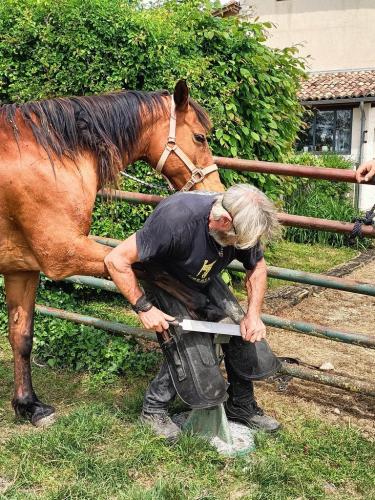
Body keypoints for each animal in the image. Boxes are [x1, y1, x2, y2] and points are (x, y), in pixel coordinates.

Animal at [0, 80, 223, 424]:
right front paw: (203, 304)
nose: (217, 191)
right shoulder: (63, 253)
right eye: (200, 137)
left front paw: (29, 406)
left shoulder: (22, 268)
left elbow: (21, 336)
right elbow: (144, 266)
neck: (46, 154)